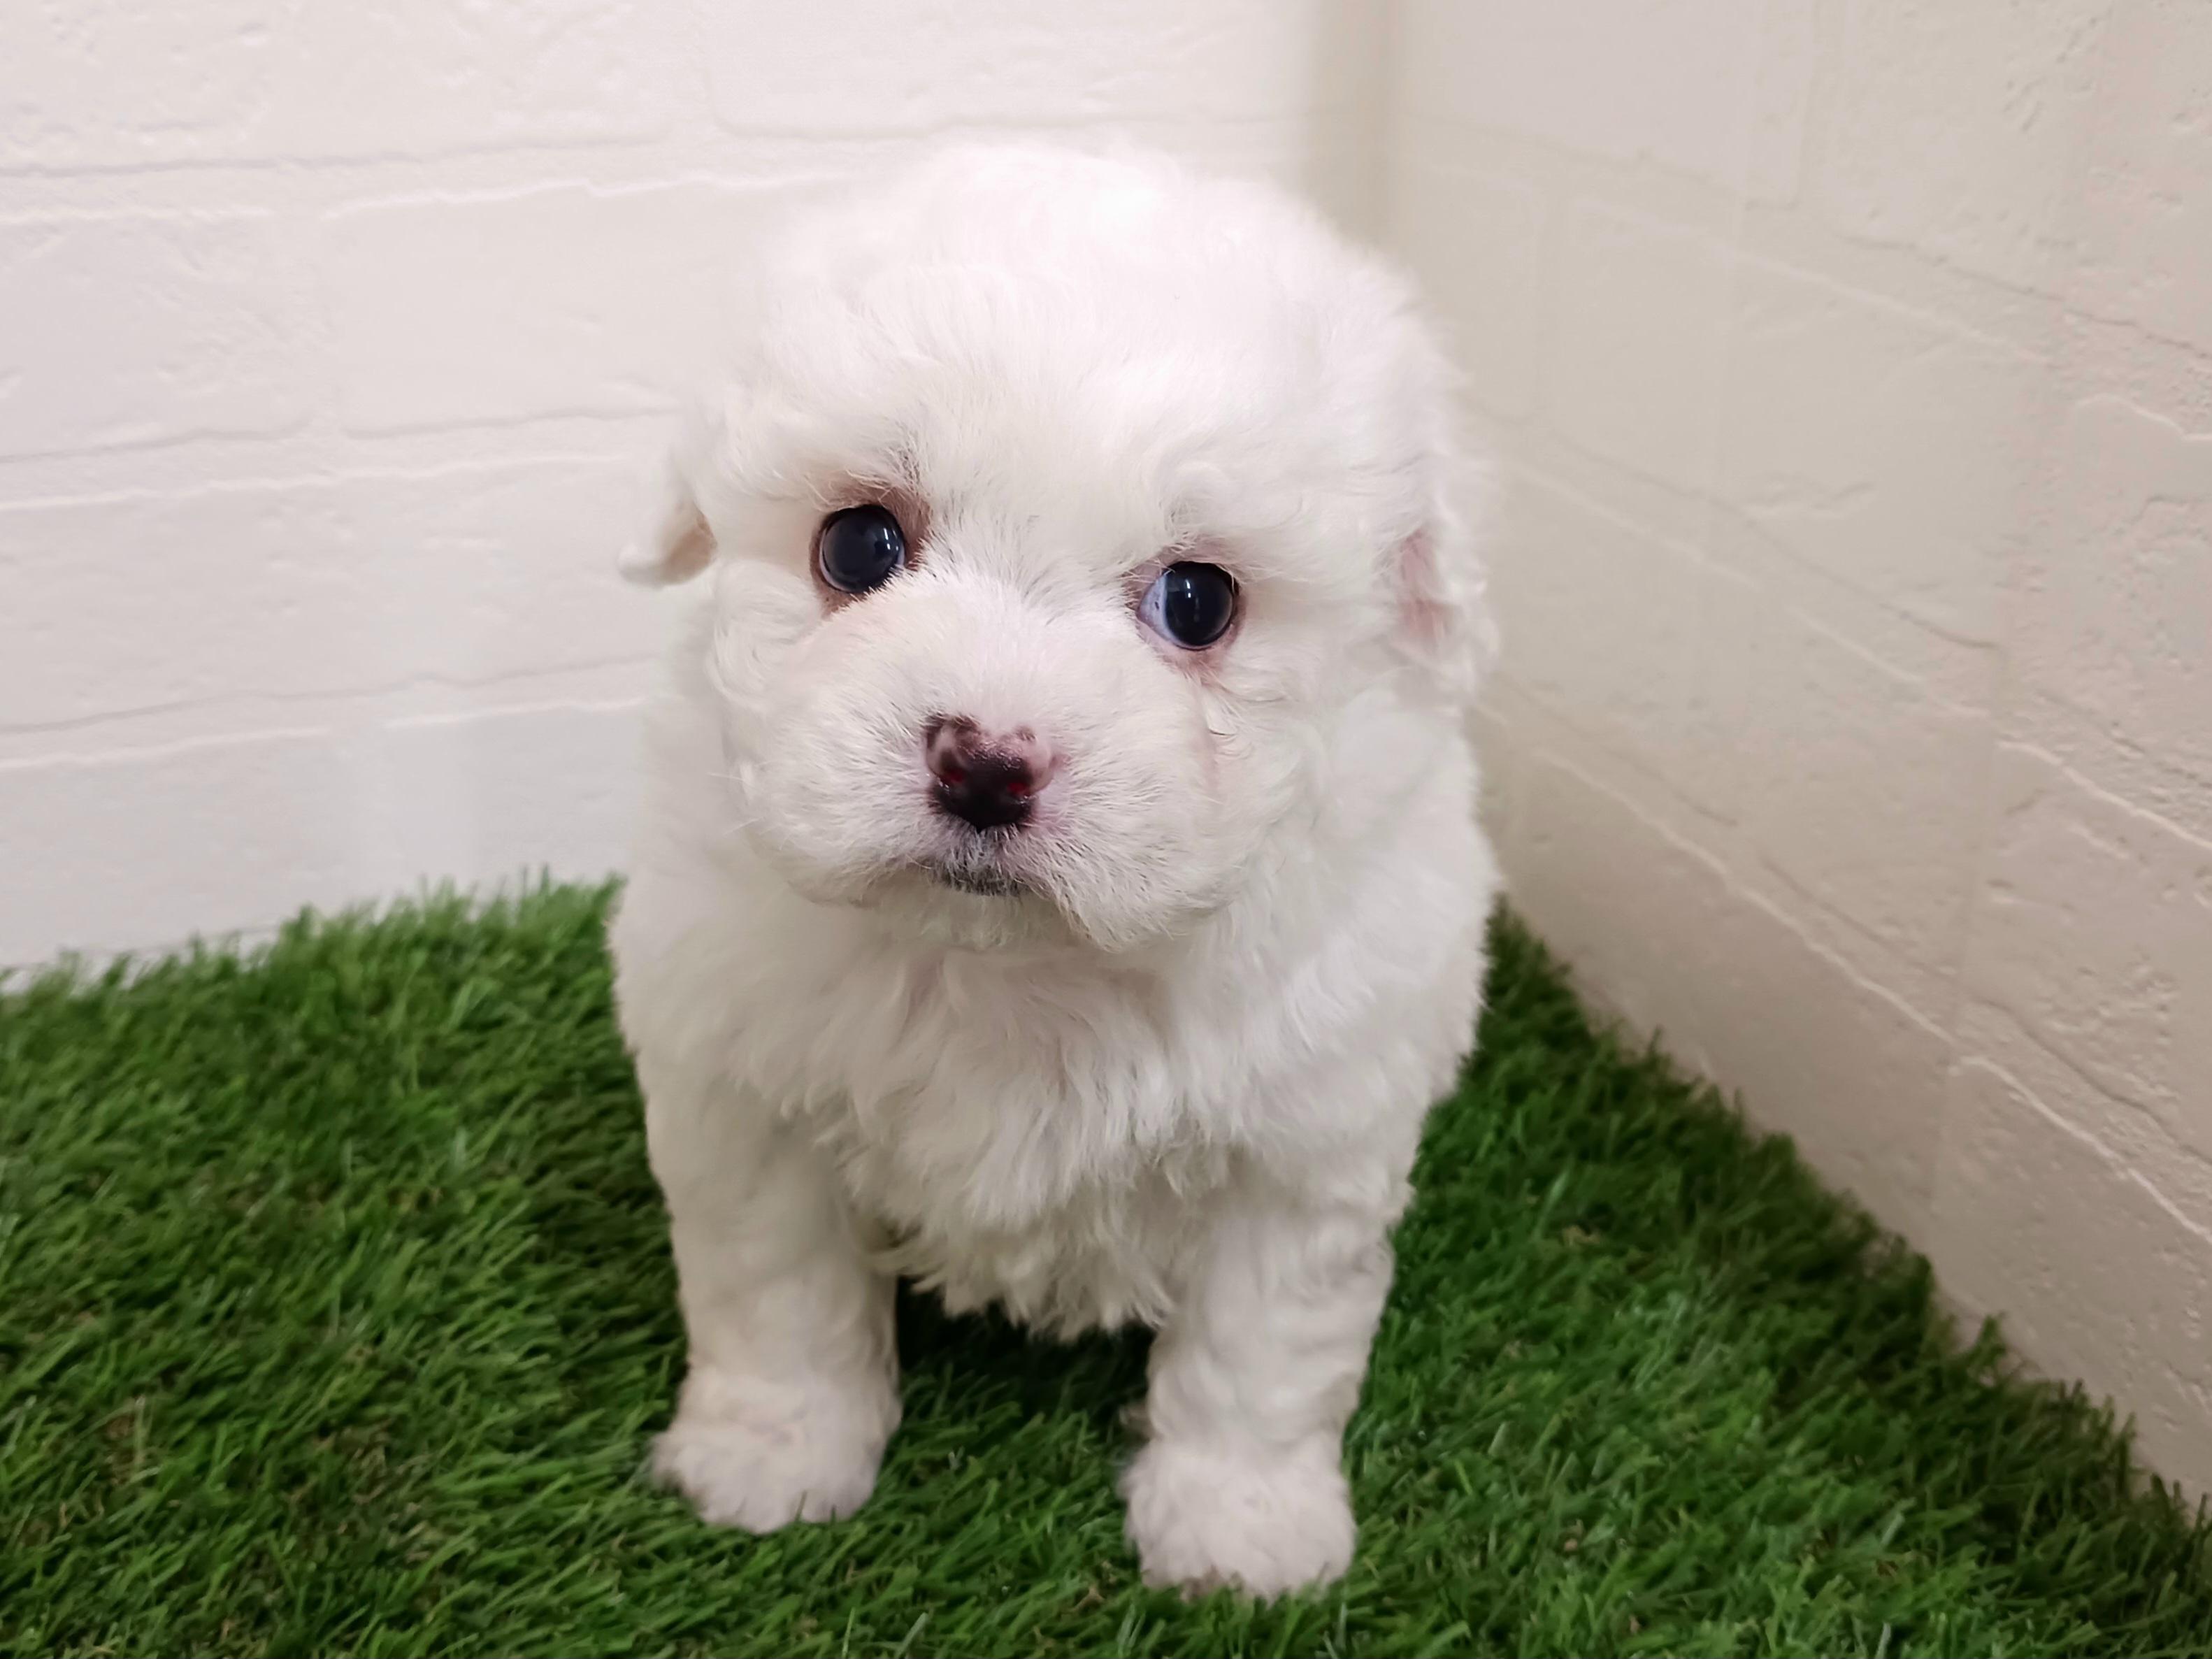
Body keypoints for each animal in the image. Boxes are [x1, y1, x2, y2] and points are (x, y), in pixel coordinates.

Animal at [608, 142, 1498, 1598]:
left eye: (1198, 601)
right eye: (856, 545)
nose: (984, 762)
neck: (1013, 968)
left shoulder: (1306, 1136)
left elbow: (1262, 1347)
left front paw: (1239, 1523)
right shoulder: (748, 1086)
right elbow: (774, 1287)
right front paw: (772, 1449)